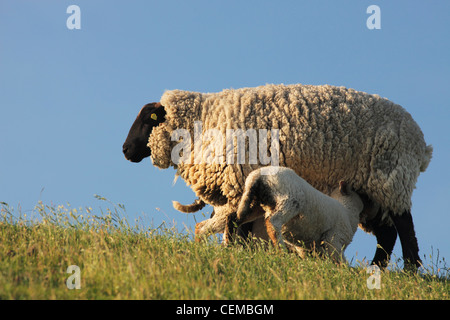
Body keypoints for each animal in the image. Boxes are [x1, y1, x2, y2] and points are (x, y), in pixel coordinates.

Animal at [227, 165, 364, 262]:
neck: (347, 211)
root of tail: (257, 176)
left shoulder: (308, 246)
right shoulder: (333, 238)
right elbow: (339, 260)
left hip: (256, 203)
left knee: (234, 218)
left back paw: (229, 243)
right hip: (289, 200)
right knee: (273, 223)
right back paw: (282, 251)